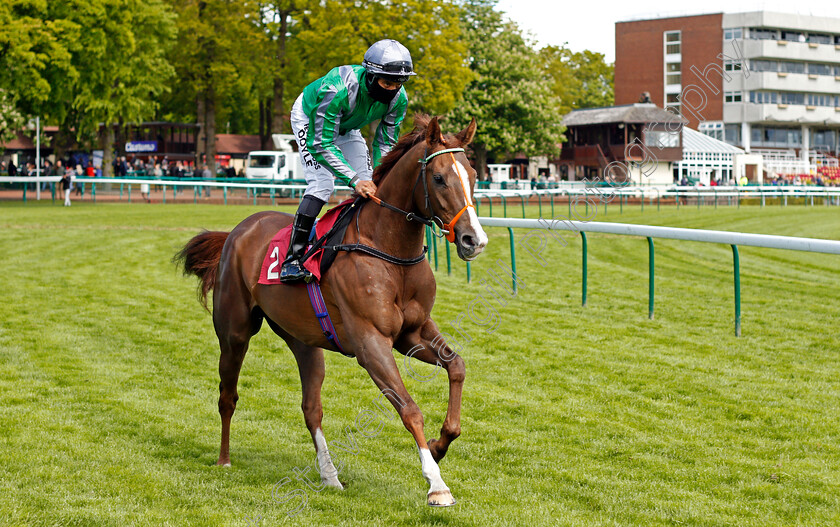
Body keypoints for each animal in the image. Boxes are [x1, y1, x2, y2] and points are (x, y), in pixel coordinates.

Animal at [177, 115, 488, 508]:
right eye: (438, 178)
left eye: (473, 175)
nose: (474, 240)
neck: (388, 249)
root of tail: (239, 229)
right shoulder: (371, 343)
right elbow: (410, 409)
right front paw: (436, 484)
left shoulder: (413, 333)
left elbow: (457, 366)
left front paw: (439, 444)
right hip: (234, 332)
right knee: (227, 396)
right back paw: (224, 459)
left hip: (304, 340)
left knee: (311, 408)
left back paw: (329, 476)